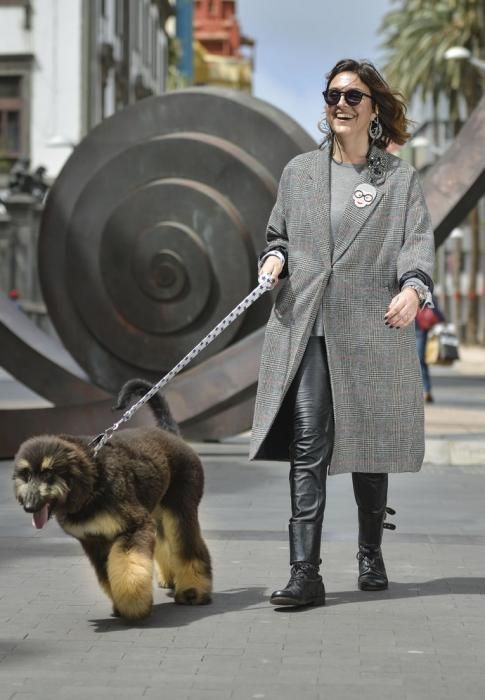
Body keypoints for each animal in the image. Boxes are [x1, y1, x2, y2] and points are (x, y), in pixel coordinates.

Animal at [11, 380, 210, 620]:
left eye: (49, 473)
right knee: (165, 540)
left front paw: (132, 602)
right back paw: (170, 578)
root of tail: (171, 435)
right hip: (157, 508)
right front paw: (121, 605)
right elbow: (107, 575)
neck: (92, 482)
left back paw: (192, 591)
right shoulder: (93, 540)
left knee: (188, 547)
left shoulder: (134, 526)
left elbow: (127, 566)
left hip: (180, 505)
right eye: (26, 475)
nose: (29, 506)